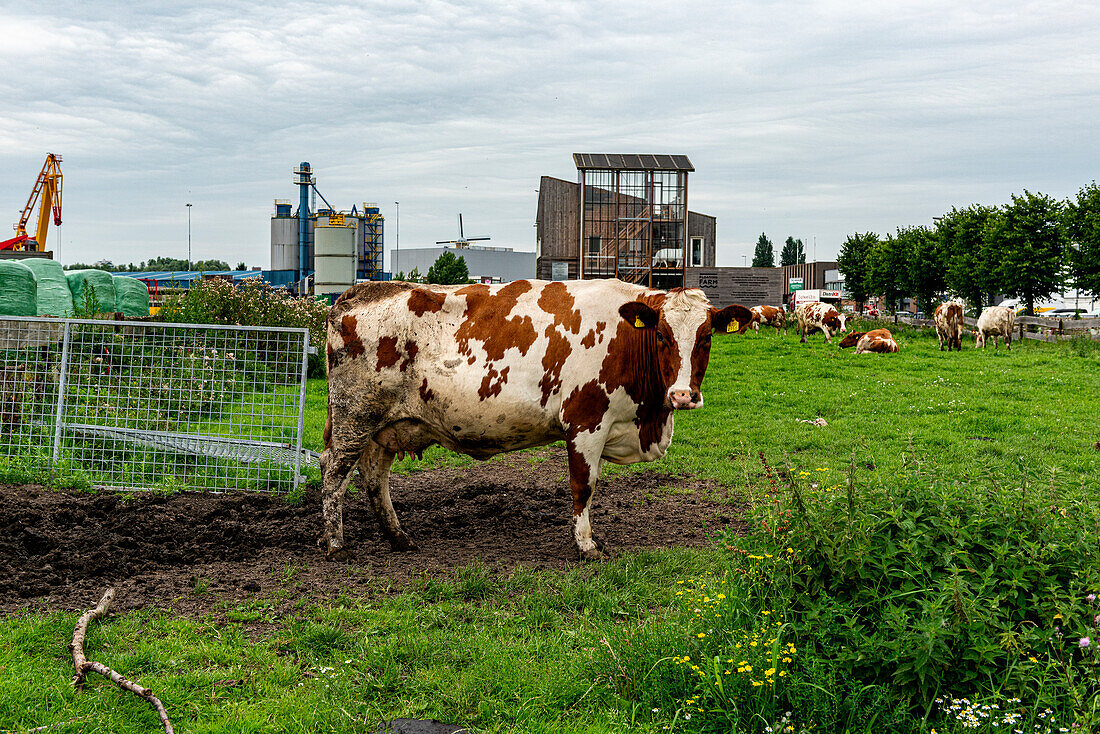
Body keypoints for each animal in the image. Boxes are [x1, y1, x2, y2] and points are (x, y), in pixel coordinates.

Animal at [316, 278, 756, 559]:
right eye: (662, 336)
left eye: (706, 337)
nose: (682, 395)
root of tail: (359, 293)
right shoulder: (585, 422)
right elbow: (583, 487)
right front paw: (586, 546)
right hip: (355, 418)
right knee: (334, 473)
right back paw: (336, 545)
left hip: (385, 425)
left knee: (374, 477)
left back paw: (398, 538)